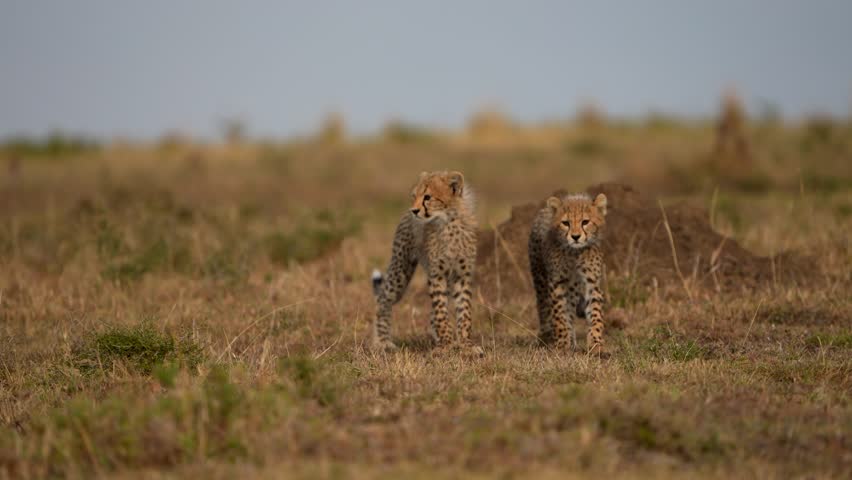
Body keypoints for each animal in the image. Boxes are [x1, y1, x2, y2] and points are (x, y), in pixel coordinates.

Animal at [371, 170, 482, 356]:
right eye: (414, 196)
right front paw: (446, 346)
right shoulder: (436, 275)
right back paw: (382, 342)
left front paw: (466, 345)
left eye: (427, 197)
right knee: (383, 299)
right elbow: (441, 313)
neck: (448, 223)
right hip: (401, 269)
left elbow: (464, 311)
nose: (414, 210)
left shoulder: (462, 275)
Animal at [528, 192, 608, 355]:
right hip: (540, 278)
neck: (575, 253)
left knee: (570, 310)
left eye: (585, 222)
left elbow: (596, 314)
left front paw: (596, 344)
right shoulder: (557, 282)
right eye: (566, 223)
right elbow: (559, 315)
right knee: (544, 308)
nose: (575, 237)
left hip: (573, 288)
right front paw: (562, 344)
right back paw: (548, 337)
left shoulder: (591, 282)